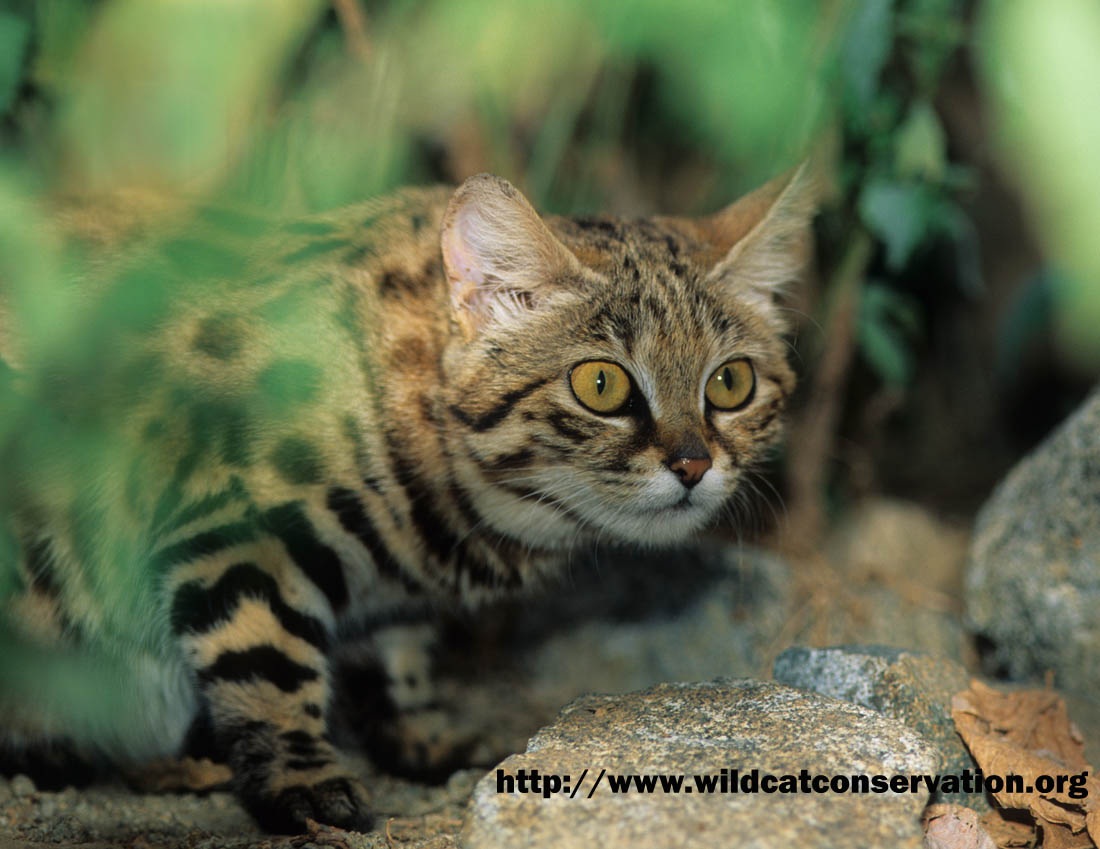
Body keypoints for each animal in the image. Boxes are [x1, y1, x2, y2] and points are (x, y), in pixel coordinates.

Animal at [0, 169, 809, 831]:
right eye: (602, 384)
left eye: (731, 382)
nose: (694, 463)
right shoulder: (233, 529)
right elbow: (267, 661)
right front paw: (304, 778)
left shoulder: (392, 604)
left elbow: (403, 659)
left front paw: (422, 732)